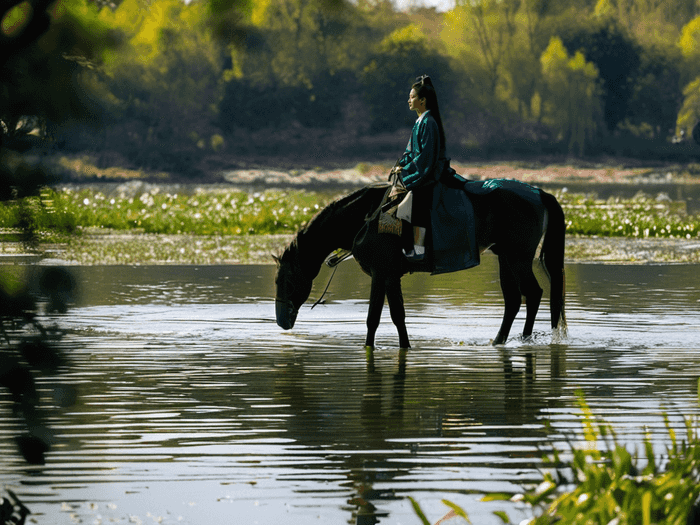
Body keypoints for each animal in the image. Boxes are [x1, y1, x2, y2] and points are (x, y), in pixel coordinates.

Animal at [274, 180, 568, 348]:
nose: (281, 322)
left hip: (519, 258)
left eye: (286, 279)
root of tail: (539, 193)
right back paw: (500, 341)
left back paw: (525, 339)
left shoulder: (381, 274)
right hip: (505, 257)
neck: (364, 217)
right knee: (514, 300)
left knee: (533, 294)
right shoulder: (388, 276)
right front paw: (401, 347)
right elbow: (392, 316)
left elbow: (377, 318)